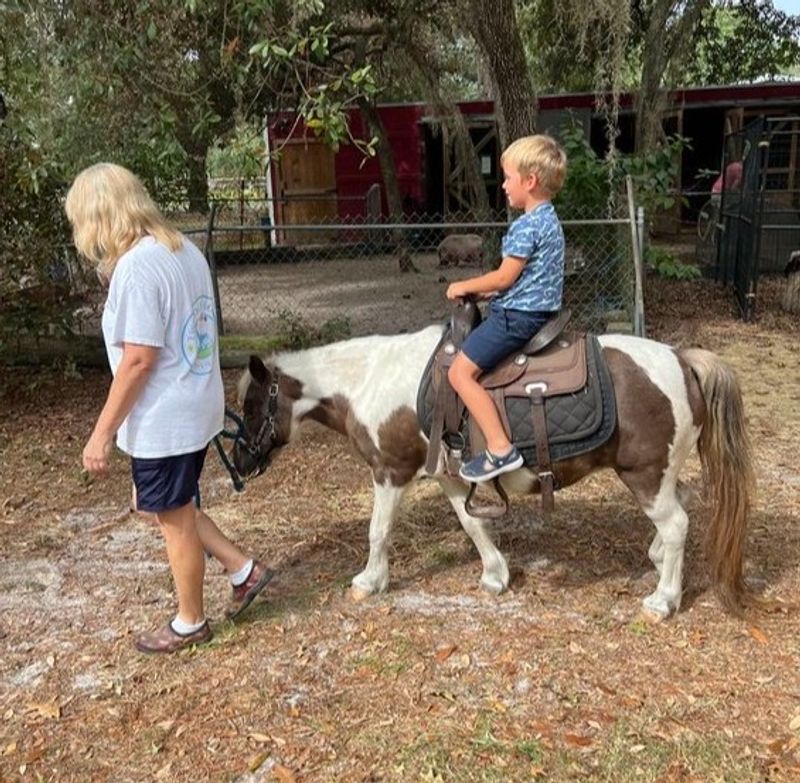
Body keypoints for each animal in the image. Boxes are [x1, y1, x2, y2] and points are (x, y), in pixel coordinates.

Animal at [231, 323, 754, 619]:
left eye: (252, 406)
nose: (240, 465)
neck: (369, 380)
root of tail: (682, 360)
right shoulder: (448, 476)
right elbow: (472, 524)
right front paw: (495, 575)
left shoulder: (391, 471)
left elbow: (378, 531)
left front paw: (368, 581)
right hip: (661, 474)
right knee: (679, 512)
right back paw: (658, 560)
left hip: (644, 474)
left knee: (678, 523)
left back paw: (664, 600)